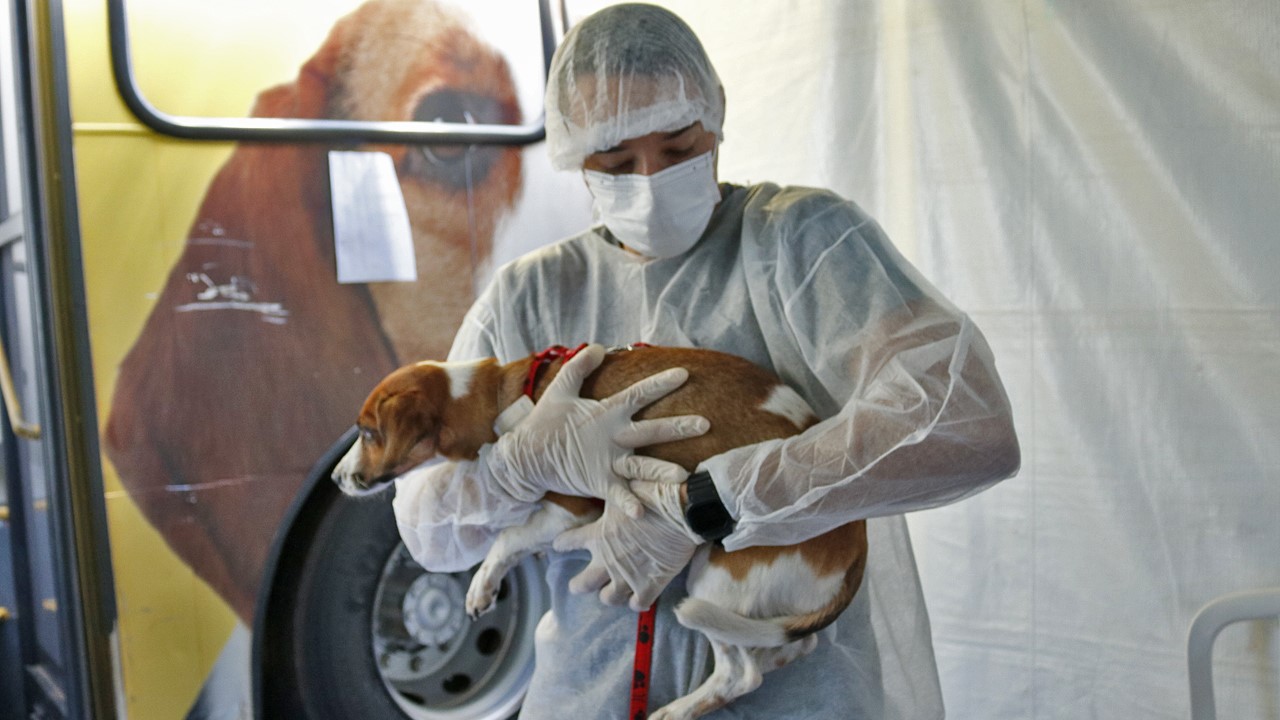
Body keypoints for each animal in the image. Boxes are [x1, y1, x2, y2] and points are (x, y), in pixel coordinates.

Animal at [332, 345, 870, 712]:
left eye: (368, 433)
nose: (336, 478)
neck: (499, 396)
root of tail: (858, 542)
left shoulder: (570, 508)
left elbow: (508, 537)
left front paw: (482, 585)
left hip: (715, 582)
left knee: (741, 675)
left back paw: (676, 711)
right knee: (787, 646)